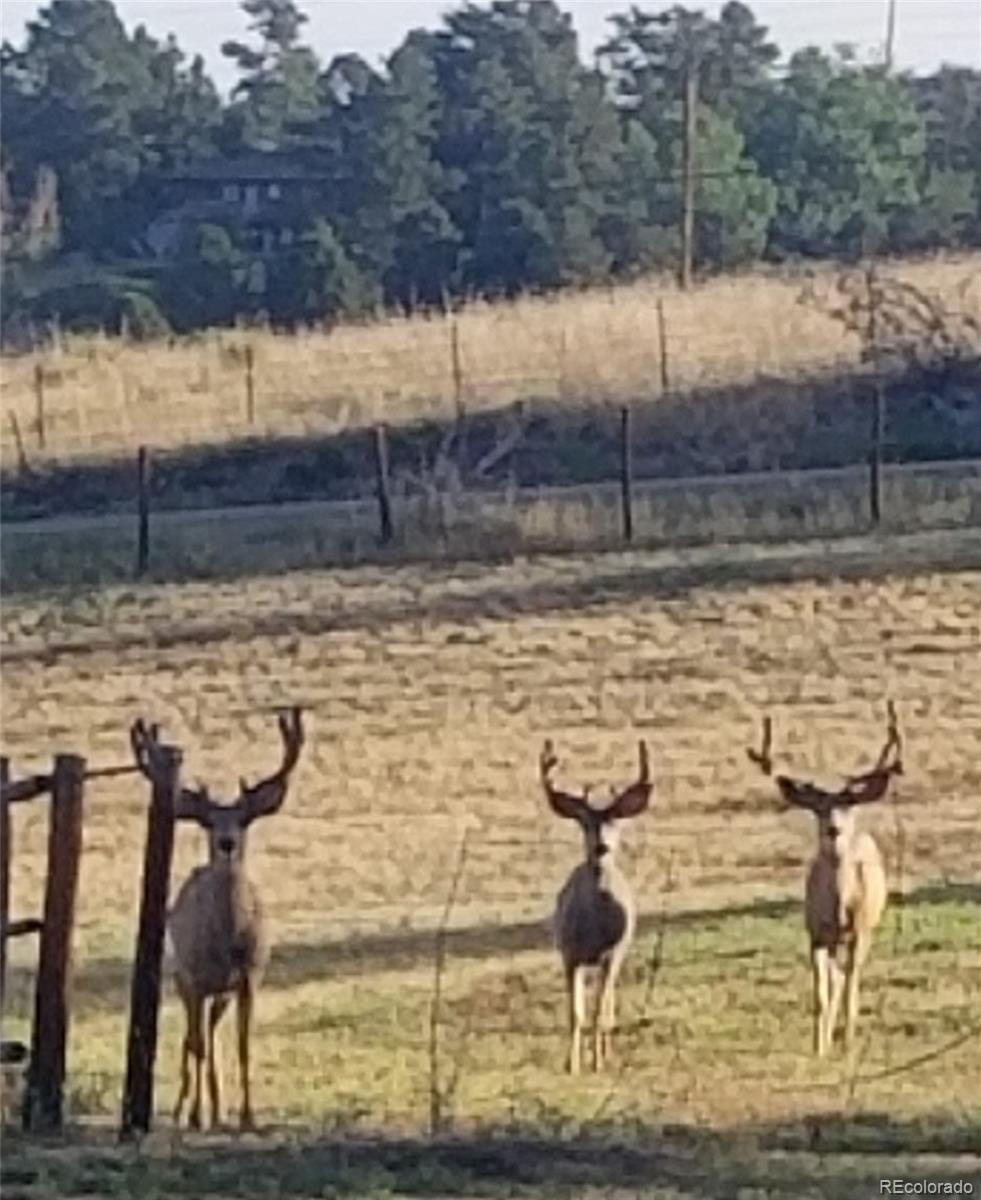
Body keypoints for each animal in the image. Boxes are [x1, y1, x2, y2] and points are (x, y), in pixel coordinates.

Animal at [130, 705, 303, 1128]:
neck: (226, 941)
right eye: (208, 823)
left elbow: (243, 1045)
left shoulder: (250, 977)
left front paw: (247, 1117)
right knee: (193, 1039)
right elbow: (195, 1046)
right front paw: (193, 1116)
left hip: (220, 992)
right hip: (181, 979)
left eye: (244, 821)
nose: (226, 843)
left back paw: (216, 1107)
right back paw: (186, 1110)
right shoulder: (194, 978)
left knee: (210, 1034)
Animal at [534, 739, 647, 1080]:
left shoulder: (612, 953)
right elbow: (576, 1013)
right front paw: (572, 1065)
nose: (601, 847)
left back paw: (607, 1052)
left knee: (609, 1005)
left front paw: (596, 1062)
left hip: (618, 955)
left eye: (617, 821)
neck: (594, 929)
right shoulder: (569, 954)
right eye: (584, 822)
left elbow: (598, 1012)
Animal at [748, 700, 901, 1060]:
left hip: (866, 930)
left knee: (847, 979)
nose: (834, 829)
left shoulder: (860, 930)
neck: (840, 909)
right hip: (832, 941)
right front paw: (819, 1047)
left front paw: (848, 1047)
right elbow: (821, 992)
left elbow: (850, 992)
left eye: (850, 806)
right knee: (835, 978)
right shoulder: (815, 933)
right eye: (818, 809)